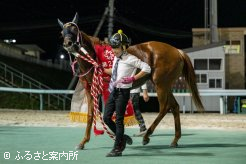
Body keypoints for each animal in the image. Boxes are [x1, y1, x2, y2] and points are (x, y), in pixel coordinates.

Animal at [57, 13, 204, 149]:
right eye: (62, 32)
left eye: (74, 30)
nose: (68, 44)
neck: (93, 59)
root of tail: (178, 51)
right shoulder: (90, 90)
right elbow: (90, 115)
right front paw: (83, 142)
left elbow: (111, 116)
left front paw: (124, 138)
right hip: (166, 85)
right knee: (174, 107)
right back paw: (175, 140)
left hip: (161, 84)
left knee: (164, 108)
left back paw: (146, 136)